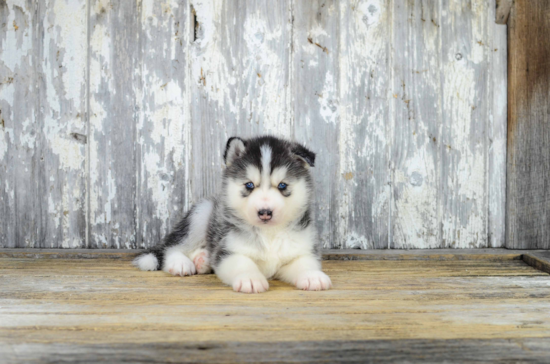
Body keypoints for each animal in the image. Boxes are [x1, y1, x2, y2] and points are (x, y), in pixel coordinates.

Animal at [134, 136, 332, 292]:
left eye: (282, 185)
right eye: (249, 185)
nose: (265, 212)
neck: (268, 234)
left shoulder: (300, 251)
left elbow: (304, 263)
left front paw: (313, 276)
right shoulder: (228, 251)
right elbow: (242, 263)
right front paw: (250, 278)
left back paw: (202, 260)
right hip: (201, 213)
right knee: (173, 246)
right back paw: (180, 263)